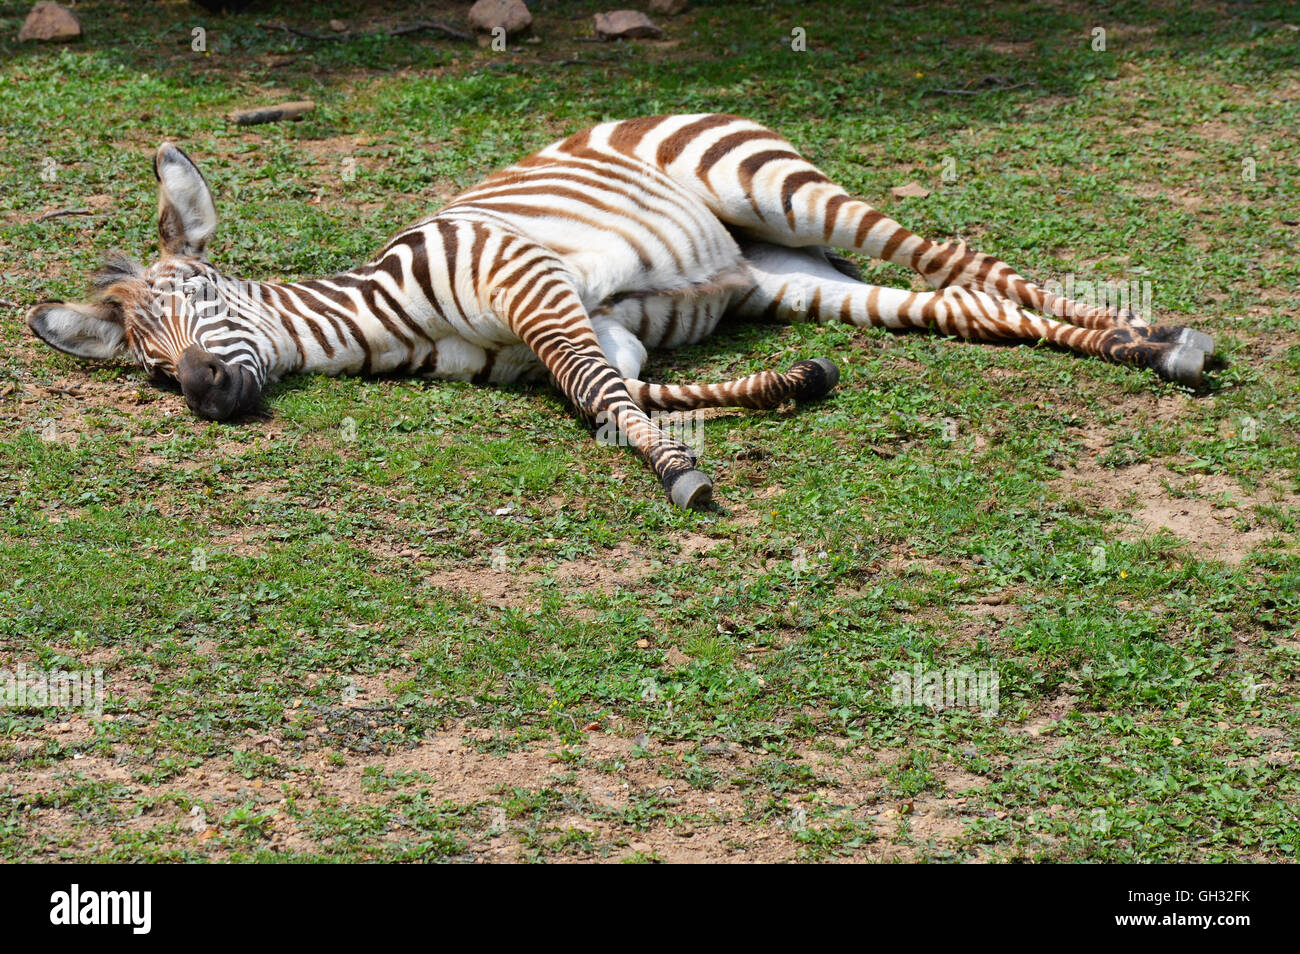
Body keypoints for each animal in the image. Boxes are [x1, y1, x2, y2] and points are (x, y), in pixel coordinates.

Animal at [25, 115, 1211, 512]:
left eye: (203, 297)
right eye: (148, 370)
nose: (202, 393)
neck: (387, 316)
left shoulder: (534, 285)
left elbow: (601, 397)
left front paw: (679, 474)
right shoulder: (598, 331)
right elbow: (624, 389)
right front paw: (794, 384)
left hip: (781, 191)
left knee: (965, 262)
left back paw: (1158, 333)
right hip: (786, 272)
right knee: (963, 305)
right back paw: (1139, 344)